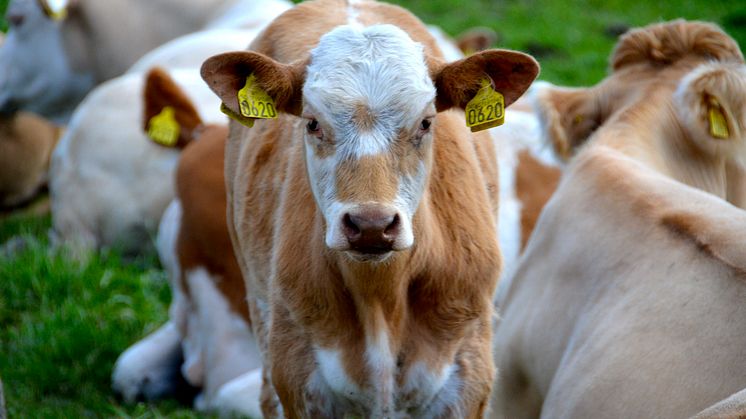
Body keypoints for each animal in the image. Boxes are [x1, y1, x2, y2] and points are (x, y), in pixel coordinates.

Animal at [201, 0, 536, 416]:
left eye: (426, 122)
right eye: (312, 123)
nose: (371, 224)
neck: (381, 299)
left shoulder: (468, 373)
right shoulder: (296, 373)